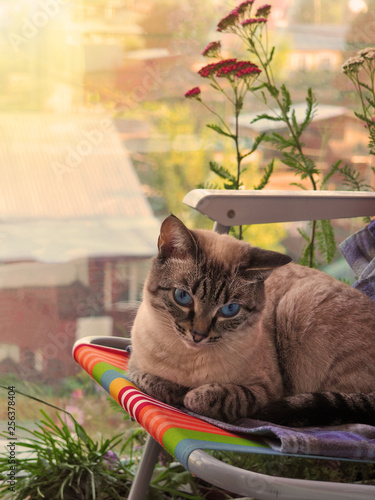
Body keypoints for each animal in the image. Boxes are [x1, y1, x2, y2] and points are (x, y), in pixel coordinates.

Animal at [129, 215, 375, 426]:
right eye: (182, 296)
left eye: (229, 309)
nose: (198, 336)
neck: (189, 361)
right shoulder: (134, 366)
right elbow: (151, 381)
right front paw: (175, 389)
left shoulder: (267, 391)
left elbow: (215, 397)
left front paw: (192, 395)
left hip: (296, 304)